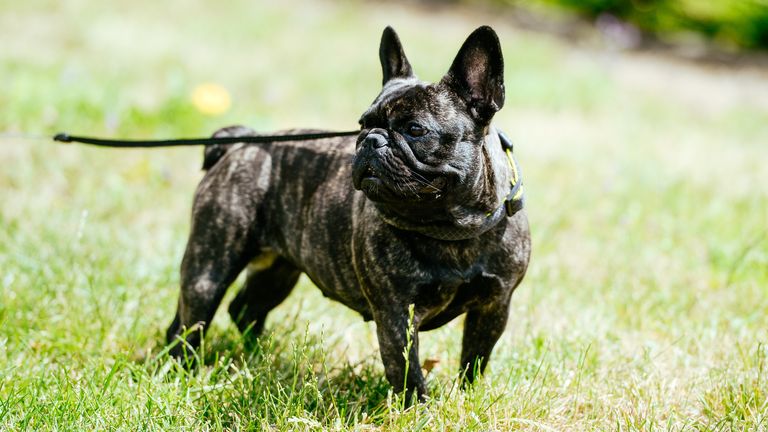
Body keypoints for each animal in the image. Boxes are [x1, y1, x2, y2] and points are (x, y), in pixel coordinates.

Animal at [166, 24, 532, 402]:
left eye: (415, 130)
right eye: (362, 124)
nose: (372, 139)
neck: (449, 228)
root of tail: (242, 143)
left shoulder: (493, 307)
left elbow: (474, 360)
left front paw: (466, 397)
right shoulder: (396, 316)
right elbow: (408, 373)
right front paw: (419, 408)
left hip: (279, 271)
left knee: (245, 308)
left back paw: (256, 357)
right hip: (210, 266)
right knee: (192, 322)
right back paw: (183, 370)